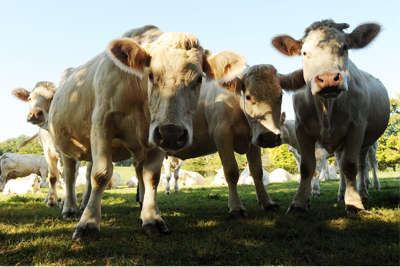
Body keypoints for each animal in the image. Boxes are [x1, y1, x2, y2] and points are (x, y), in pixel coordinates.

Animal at [46, 24, 247, 239]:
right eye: (151, 75)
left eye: (199, 79)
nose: (172, 132)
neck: (139, 96)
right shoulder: (102, 123)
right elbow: (101, 174)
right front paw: (89, 223)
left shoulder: (155, 134)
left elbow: (151, 177)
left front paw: (151, 218)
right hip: (64, 147)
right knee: (69, 174)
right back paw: (69, 208)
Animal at [270, 19, 390, 216]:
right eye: (304, 52)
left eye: (345, 47)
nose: (327, 78)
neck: (327, 107)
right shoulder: (303, 132)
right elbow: (306, 168)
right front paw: (299, 203)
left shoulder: (356, 128)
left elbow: (349, 166)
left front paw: (353, 203)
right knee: (347, 166)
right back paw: (343, 193)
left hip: (369, 142)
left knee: (366, 165)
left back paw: (365, 190)